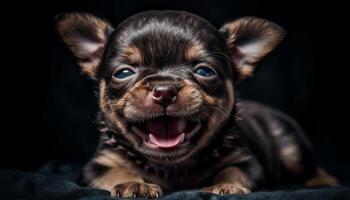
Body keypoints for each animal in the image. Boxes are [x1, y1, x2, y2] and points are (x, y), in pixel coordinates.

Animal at [56, 10, 338, 198]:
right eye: (123, 73)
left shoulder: (246, 160)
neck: (171, 167)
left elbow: (235, 171)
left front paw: (226, 185)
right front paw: (134, 184)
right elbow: (115, 172)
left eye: (204, 71)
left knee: (310, 166)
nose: (164, 90)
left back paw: (326, 180)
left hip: (291, 147)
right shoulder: (97, 166)